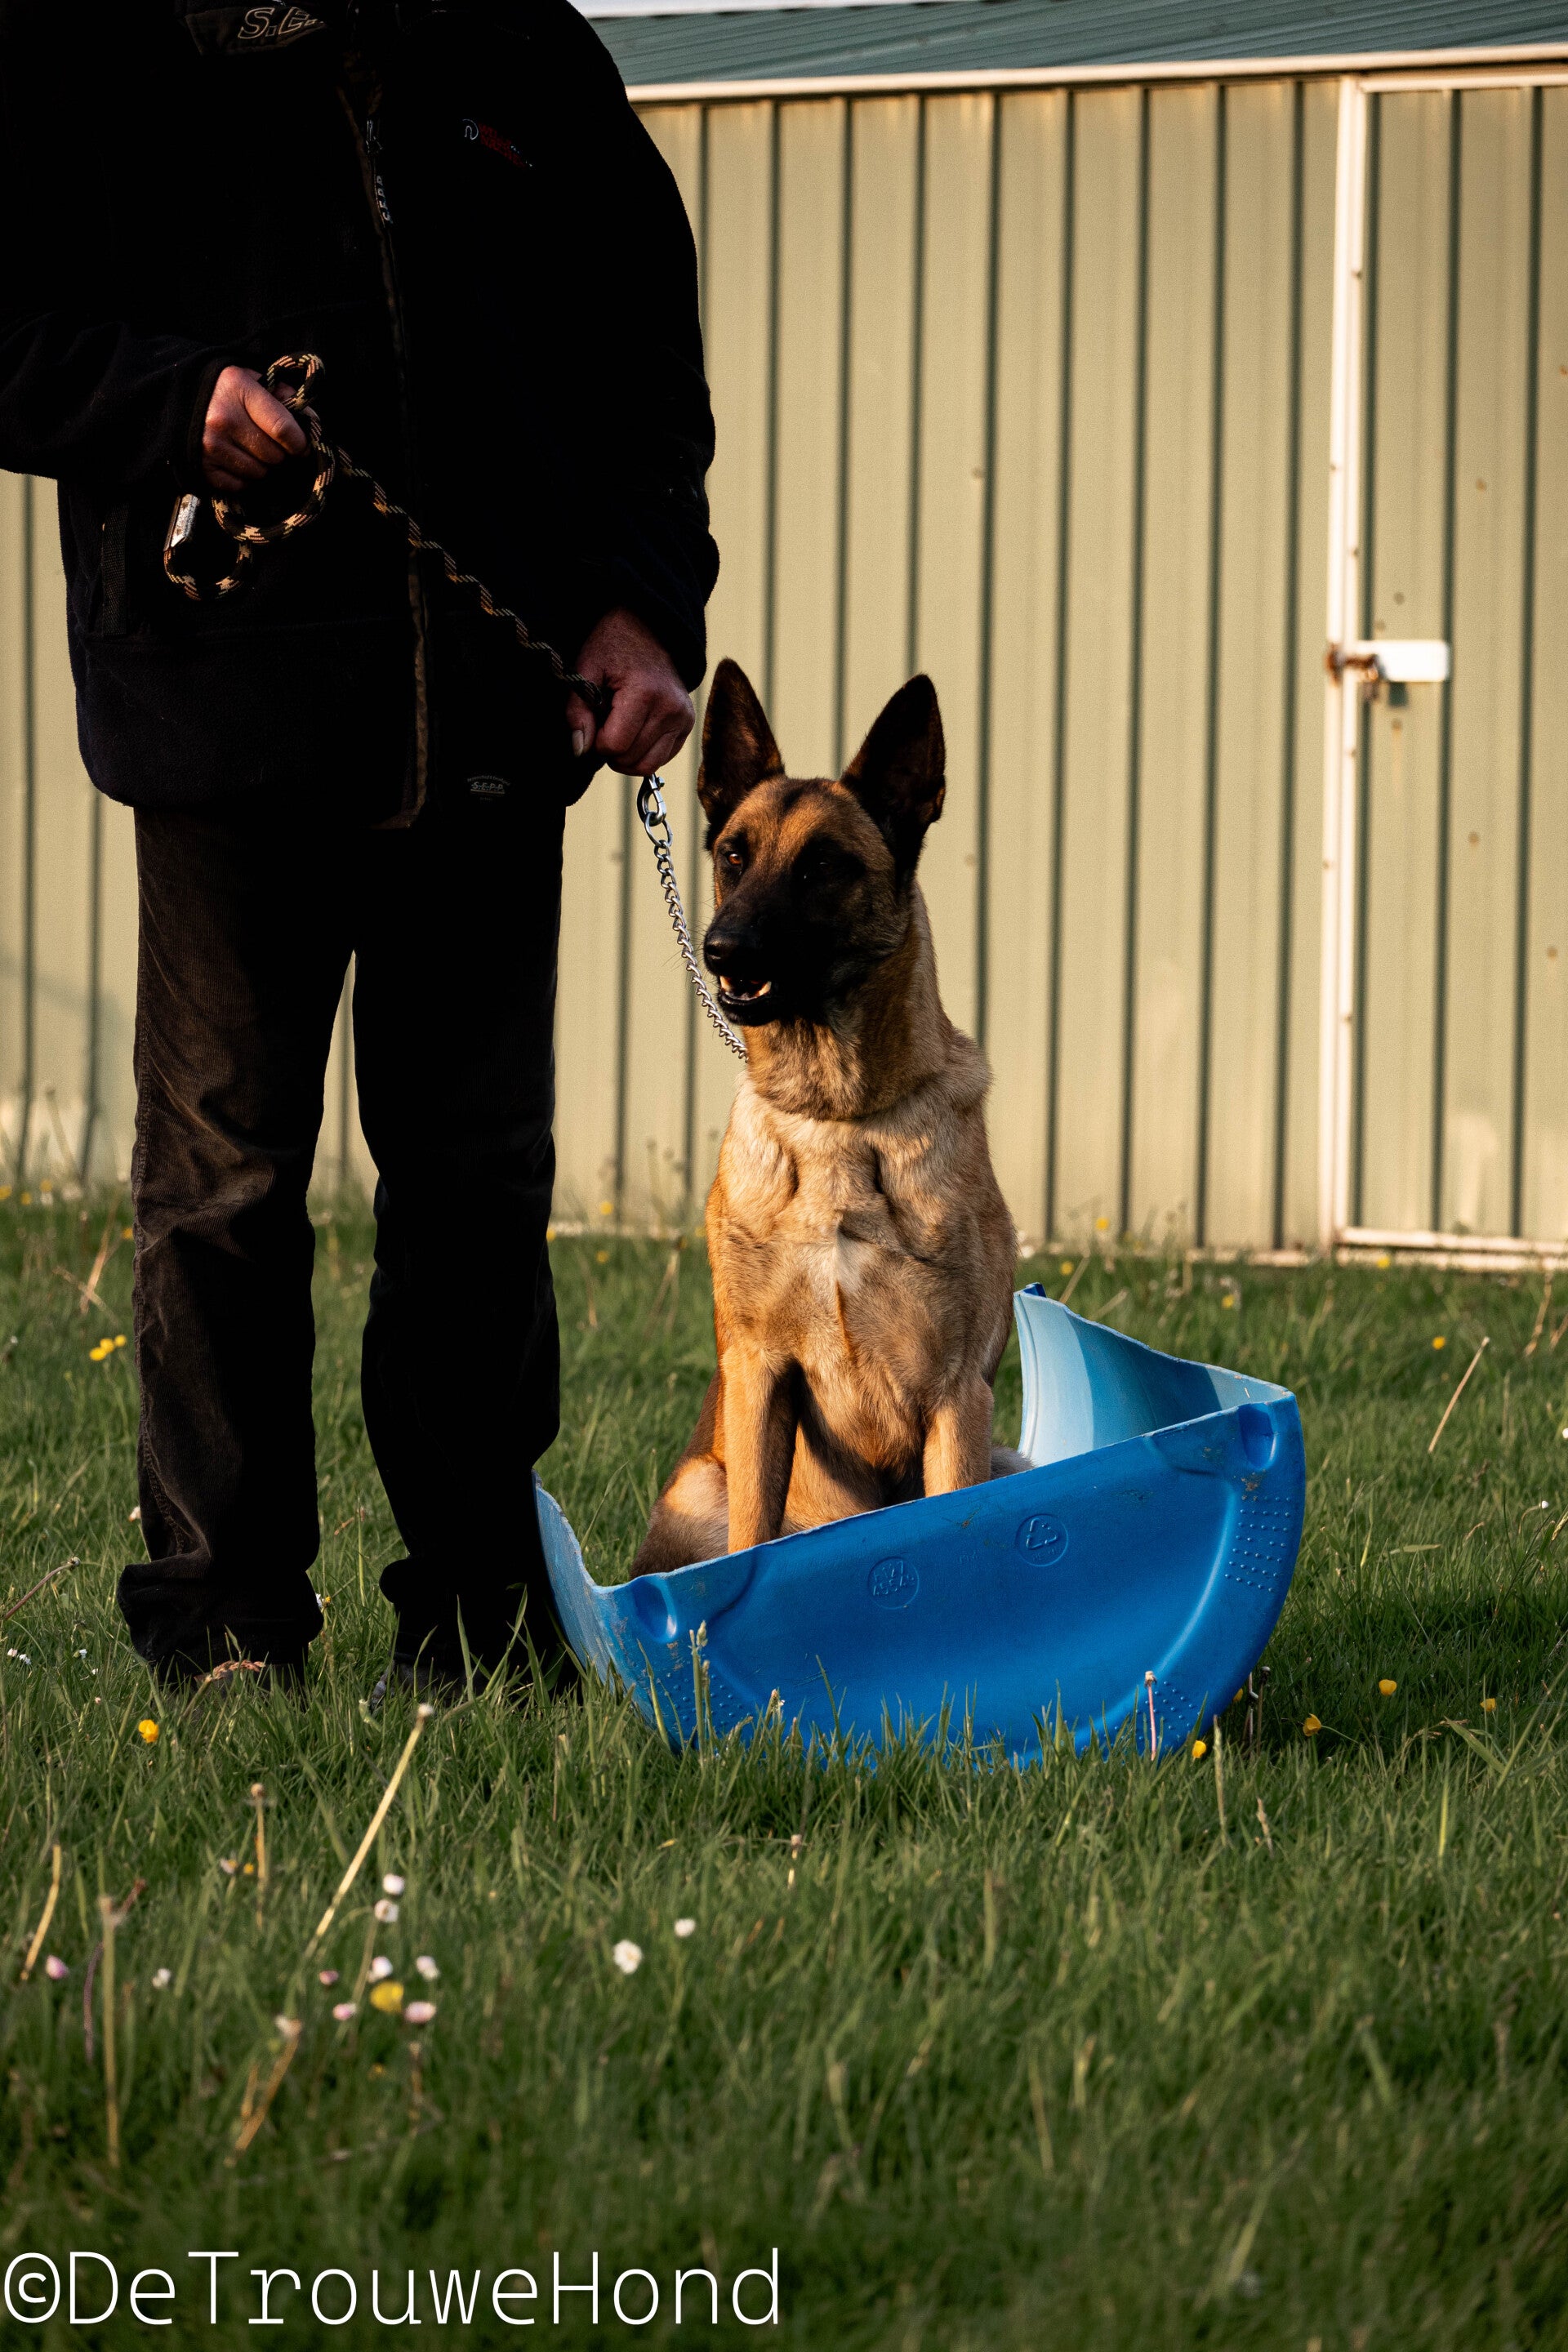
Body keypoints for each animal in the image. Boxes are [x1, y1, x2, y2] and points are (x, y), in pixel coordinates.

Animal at [632, 658, 1023, 1576]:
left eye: (821, 866)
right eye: (733, 855)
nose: (722, 950)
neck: (838, 1117)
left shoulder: (958, 1399)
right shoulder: (759, 1375)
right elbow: (751, 1538)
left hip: (1006, 1453)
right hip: (700, 1486)